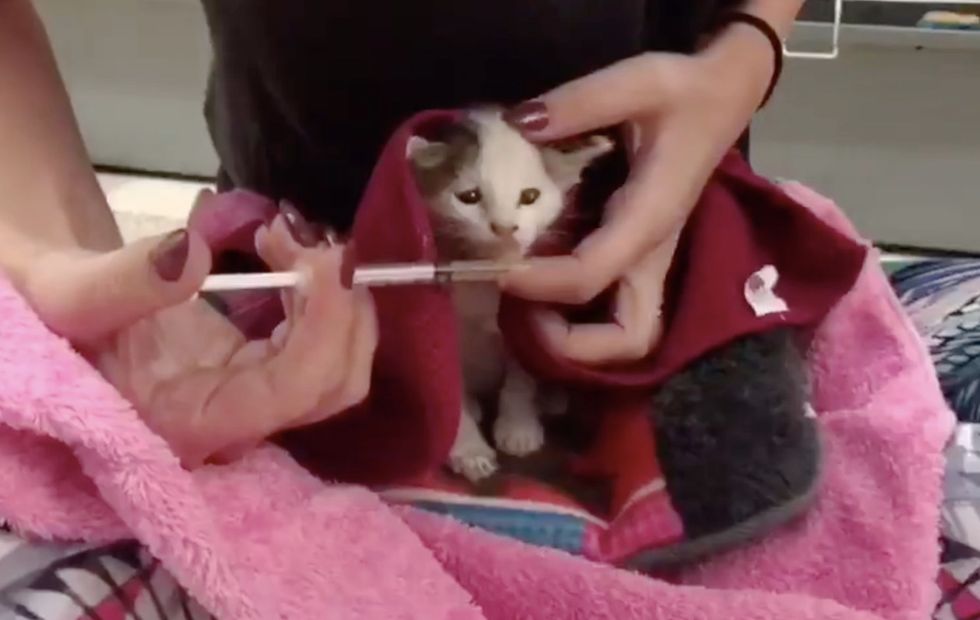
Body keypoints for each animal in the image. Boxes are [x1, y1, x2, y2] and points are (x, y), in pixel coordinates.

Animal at [407, 107, 612, 482]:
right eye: (470, 197)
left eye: (529, 196)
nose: (505, 228)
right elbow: (448, 388)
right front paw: (468, 449)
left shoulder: (522, 317)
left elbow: (522, 370)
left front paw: (519, 425)